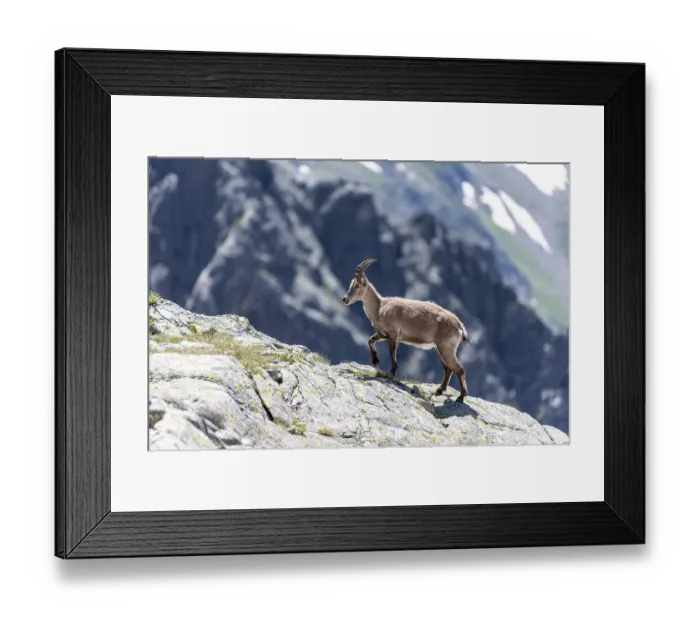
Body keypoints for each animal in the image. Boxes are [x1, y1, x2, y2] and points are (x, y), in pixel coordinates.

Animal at [342, 258, 471, 402]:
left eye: (357, 285)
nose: (345, 299)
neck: (379, 307)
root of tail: (459, 324)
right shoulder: (383, 334)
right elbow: (370, 340)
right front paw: (375, 361)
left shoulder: (393, 334)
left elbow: (392, 352)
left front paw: (392, 372)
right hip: (440, 348)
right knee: (448, 369)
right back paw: (440, 390)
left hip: (446, 348)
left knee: (459, 369)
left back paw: (461, 396)